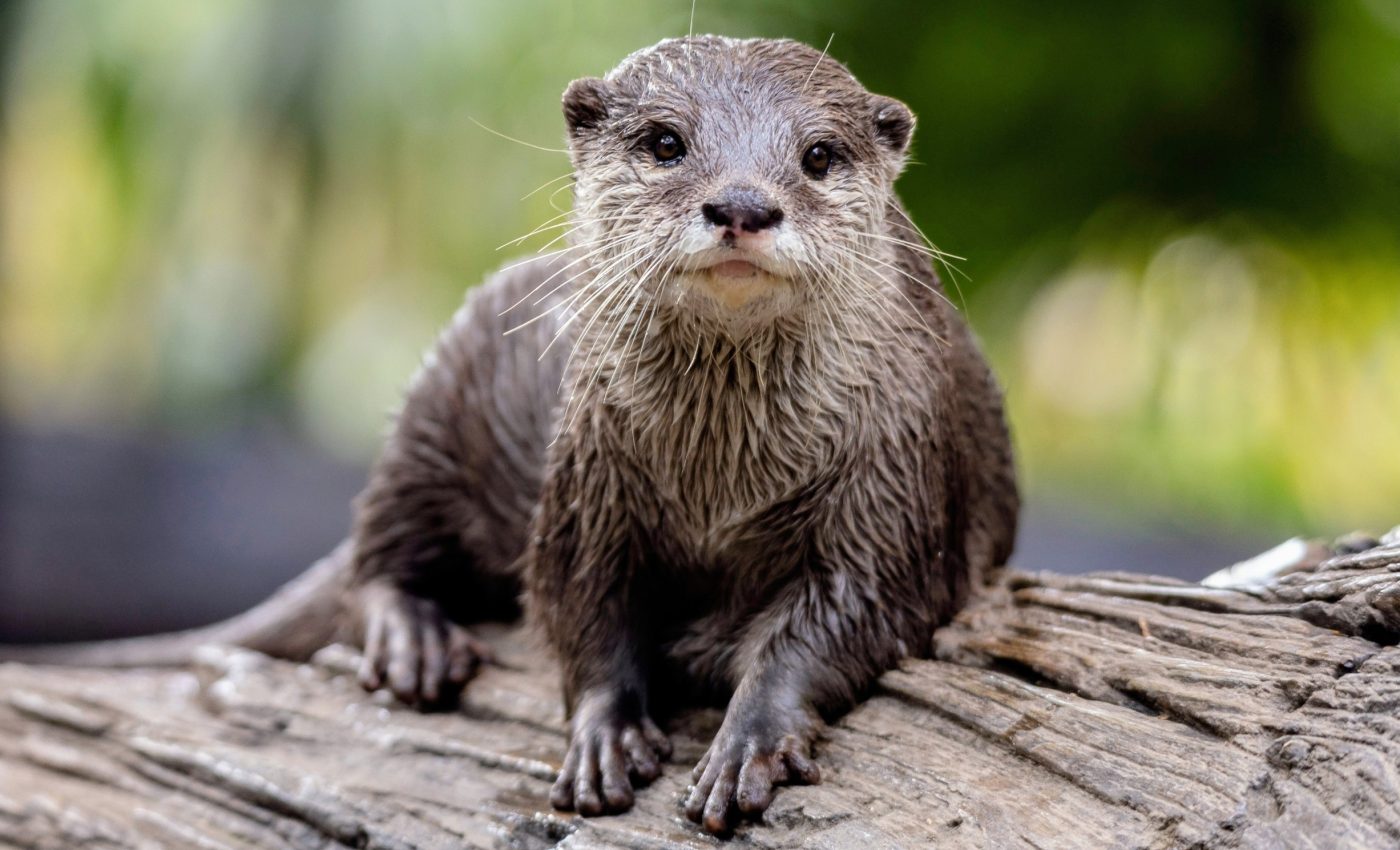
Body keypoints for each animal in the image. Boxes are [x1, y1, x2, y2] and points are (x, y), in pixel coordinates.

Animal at [0, 37, 1018, 834]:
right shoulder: (587, 485)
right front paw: (604, 735)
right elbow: (579, 604)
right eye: (665, 141)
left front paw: (748, 741)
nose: (743, 205)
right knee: (377, 552)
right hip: (435, 403)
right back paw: (414, 639)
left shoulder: (895, 477)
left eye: (818, 154)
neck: (721, 481)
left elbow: (852, 612)